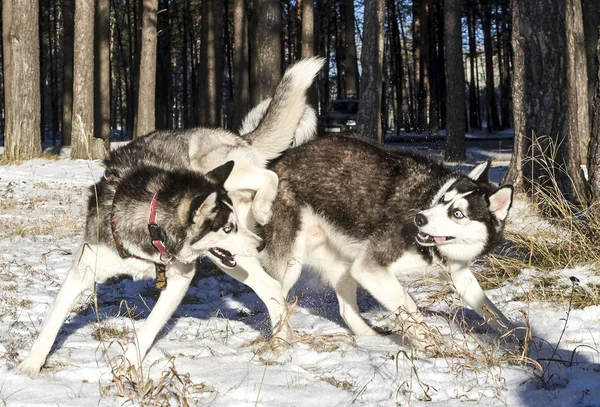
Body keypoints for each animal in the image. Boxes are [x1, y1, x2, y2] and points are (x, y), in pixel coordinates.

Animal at [18, 57, 324, 376]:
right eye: (228, 228)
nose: (260, 244)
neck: (150, 224)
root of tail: (233, 136)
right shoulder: (83, 270)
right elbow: (52, 323)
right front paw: (30, 366)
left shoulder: (180, 278)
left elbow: (149, 328)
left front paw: (130, 365)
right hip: (230, 255)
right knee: (272, 287)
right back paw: (281, 339)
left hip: (217, 171)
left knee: (268, 175)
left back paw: (264, 208)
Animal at [260, 136, 516, 348]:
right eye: (444, 200)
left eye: (457, 213)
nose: (419, 218)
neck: (428, 197)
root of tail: (277, 163)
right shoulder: (370, 268)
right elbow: (409, 307)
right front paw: (428, 342)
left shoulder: (460, 275)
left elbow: (491, 310)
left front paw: (518, 338)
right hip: (291, 264)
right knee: (272, 296)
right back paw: (280, 341)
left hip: (343, 267)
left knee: (345, 310)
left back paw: (373, 338)